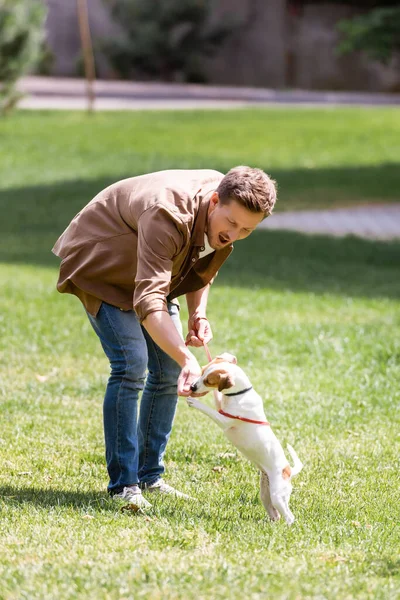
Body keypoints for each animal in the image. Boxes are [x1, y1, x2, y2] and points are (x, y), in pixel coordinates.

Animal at [188, 352, 304, 524]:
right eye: (201, 371)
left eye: (208, 380)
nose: (192, 387)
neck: (240, 394)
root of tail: (287, 470)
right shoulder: (221, 407)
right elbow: (217, 398)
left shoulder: (224, 420)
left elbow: (208, 410)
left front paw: (194, 402)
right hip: (266, 494)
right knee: (275, 513)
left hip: (278, 495)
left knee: (290, 517)